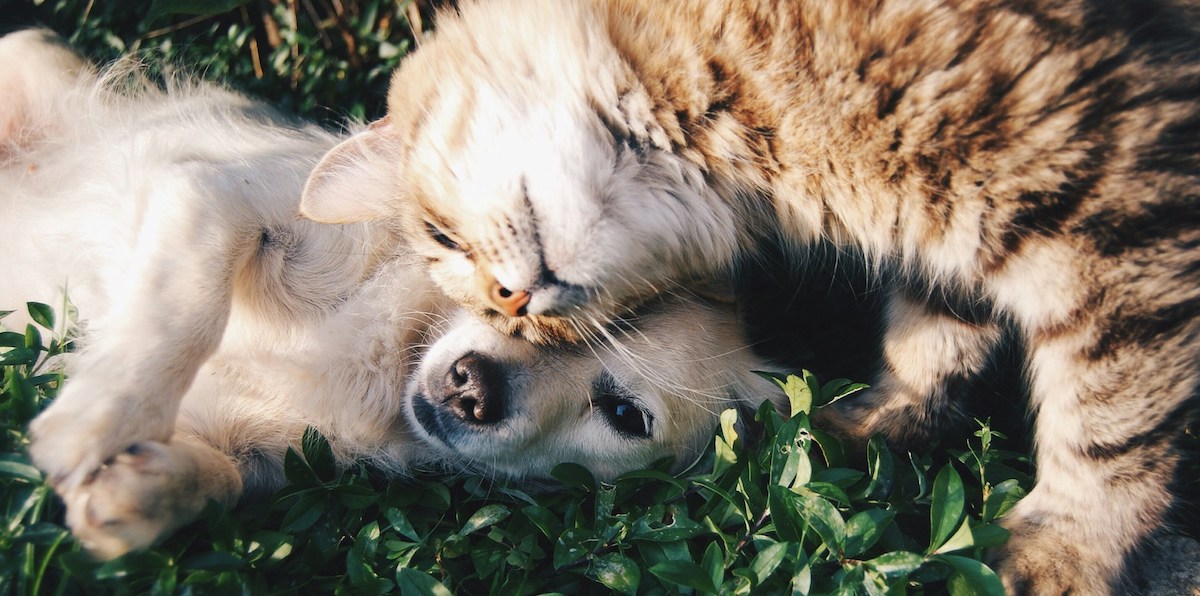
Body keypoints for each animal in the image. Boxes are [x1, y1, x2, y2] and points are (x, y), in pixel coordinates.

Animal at [0, 27, 782, 556]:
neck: (392, 356)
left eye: (624, 414)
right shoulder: (216, 195)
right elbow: (182, 312)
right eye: (511, 296)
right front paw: (96, 420)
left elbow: (221, 480)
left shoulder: (262, 454)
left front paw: (139, 492)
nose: (472, 388)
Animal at [300, 0, 1200, 590]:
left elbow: (1108, 423)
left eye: (442, 238)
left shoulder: (1113, 204)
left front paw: (1067, 550)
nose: (511, 304)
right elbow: (934, 335)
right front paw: (877, 421)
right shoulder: (957, 230)